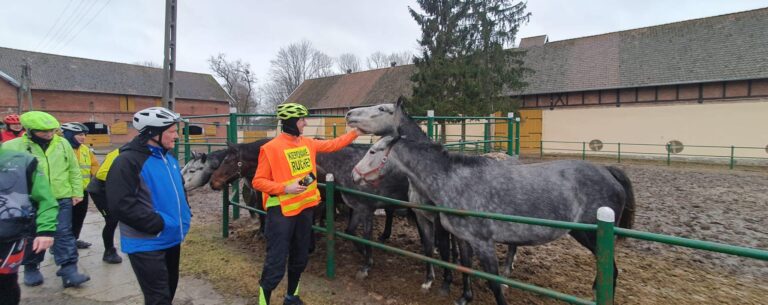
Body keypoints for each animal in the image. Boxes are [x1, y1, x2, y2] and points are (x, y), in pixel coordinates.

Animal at [350, 100, 636, 304]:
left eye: (373, 151)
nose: (349, 114)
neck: (452, 177)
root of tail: (608, 171)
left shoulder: (483, 243)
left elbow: (493, 283)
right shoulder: (463, 238)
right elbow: (462, 264)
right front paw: (463, 297)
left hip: (591, 236)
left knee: (612, 272)